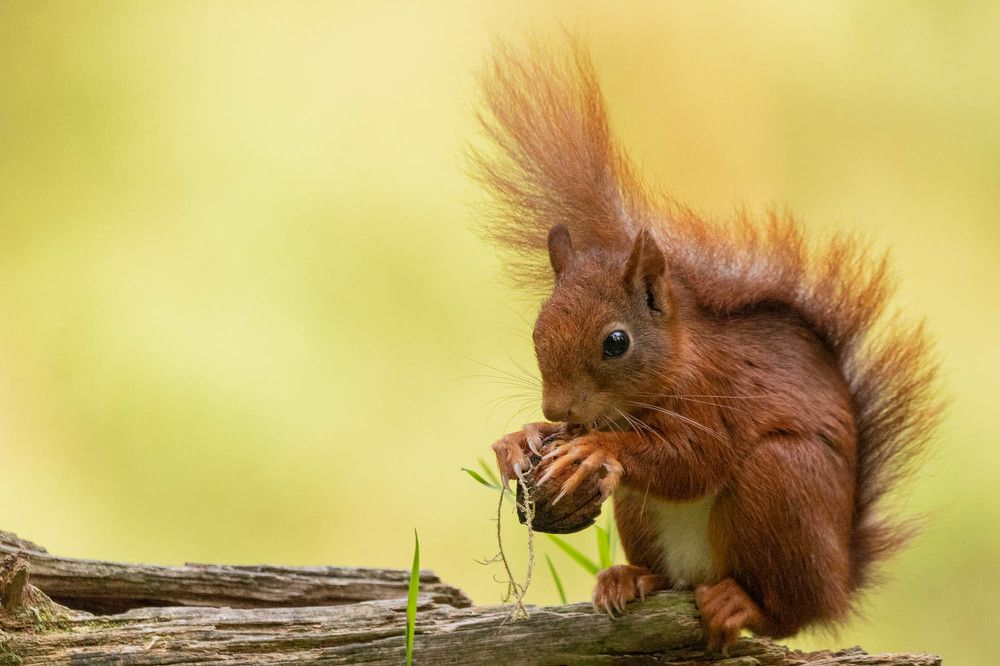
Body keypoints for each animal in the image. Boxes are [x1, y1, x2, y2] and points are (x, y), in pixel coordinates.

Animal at [474, 37, 943, 651]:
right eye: (537, 328)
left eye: (616, 342)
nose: (556, 410)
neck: (675, 366)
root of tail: (840, 582)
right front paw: (520, 441)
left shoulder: (721, 395)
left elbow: (695, 461)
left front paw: (599, 449)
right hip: (639, 512)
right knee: (669, 573)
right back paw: (631, 578)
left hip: (783, 482)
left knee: (786, 613)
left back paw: (737, 602)